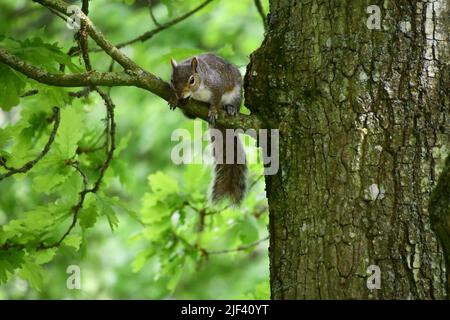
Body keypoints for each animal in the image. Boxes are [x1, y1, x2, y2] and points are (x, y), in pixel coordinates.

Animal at [169, 53, 246, 205]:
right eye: (172, 80)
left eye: (192, 80)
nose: (180, 95)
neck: (197, 91)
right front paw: (174, 98)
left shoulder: (217, 84)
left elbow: (216, 100)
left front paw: (213, 111)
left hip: (236, 93)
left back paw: (230, 108)